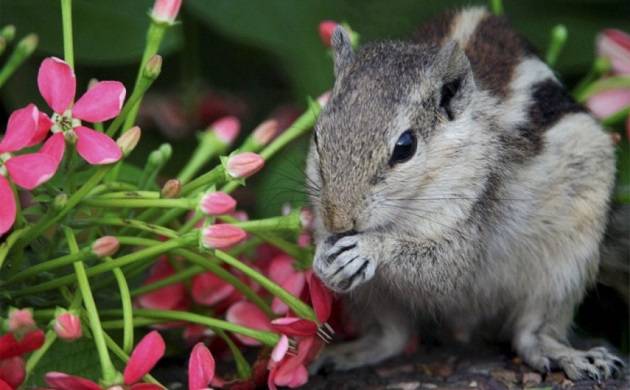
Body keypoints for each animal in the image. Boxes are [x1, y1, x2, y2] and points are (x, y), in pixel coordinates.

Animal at [306, 5, 628, 380]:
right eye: (317, 136)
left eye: (405, 147)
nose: (340, 221)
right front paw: (320, 257)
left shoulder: (473, 211)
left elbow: (447, 264)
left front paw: (371, 247)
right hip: (374, 298)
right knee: (391, 337)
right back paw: (346, 353)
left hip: (565, 265)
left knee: (530, 333)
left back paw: (567, 354)